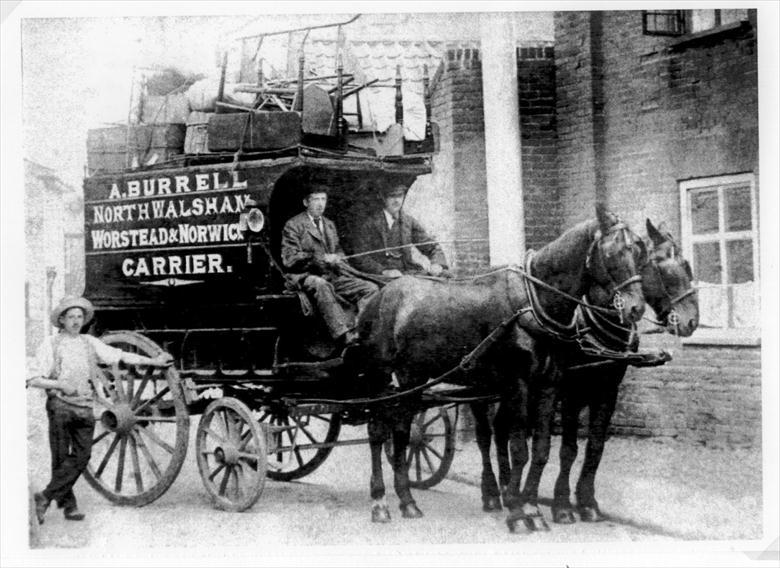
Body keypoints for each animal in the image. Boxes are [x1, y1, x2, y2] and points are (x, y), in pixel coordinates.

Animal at [354, 204, 644, 528]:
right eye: (612, 252)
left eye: (638, 250)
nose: (636, 308)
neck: (533, 302)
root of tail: (378, 296)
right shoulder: (520, 384)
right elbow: (519, 450)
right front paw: (518, 514)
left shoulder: (550, 383)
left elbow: (542, 449)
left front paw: (532, 508)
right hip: (380, 377)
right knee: (378, 431)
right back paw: (380, 501)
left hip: (413, 377)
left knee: (403, 431)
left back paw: (408, 500)